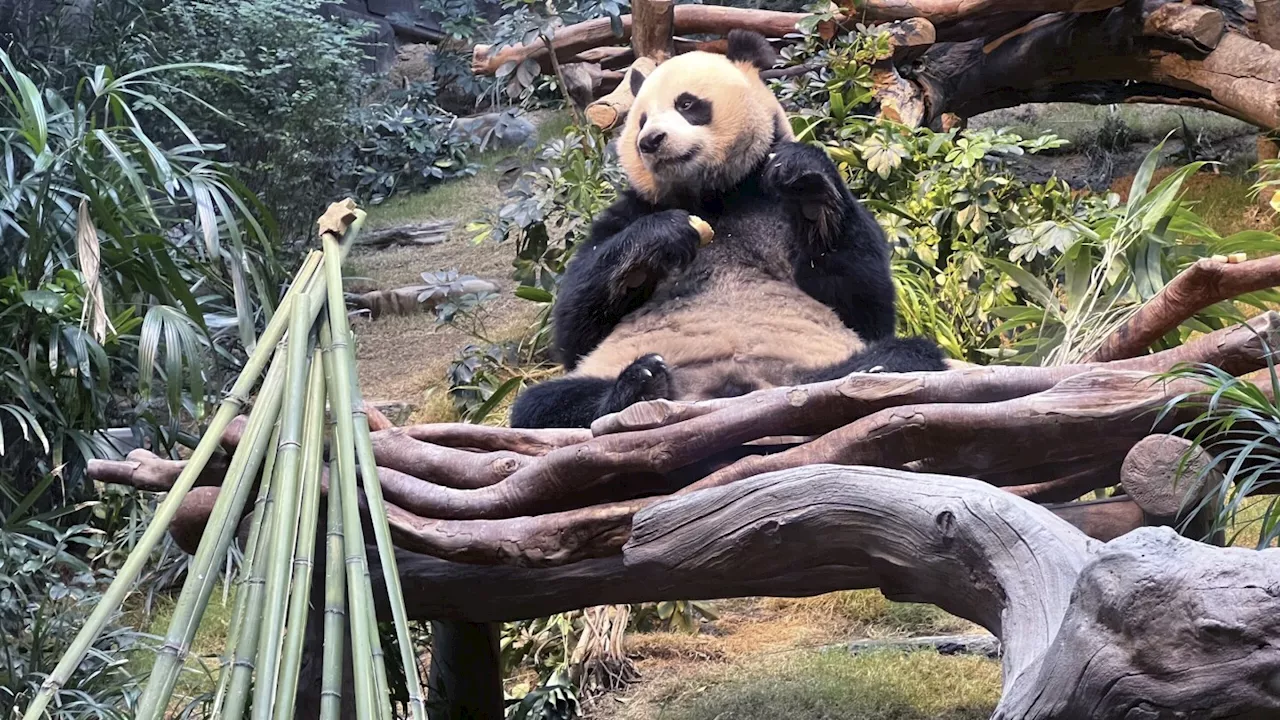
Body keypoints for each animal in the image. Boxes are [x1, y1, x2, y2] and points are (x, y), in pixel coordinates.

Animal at [506, 30, 942, 427]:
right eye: (641, 119)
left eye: (687, 104)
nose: (651, 140)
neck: (713, 196)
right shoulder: (627, 212)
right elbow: (576, 327)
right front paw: (661, 239)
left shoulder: (772, 201)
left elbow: (863, 303)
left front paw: (807, 184)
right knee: (544, 403)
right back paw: (639, 384)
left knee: (910, 354)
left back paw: (867, 372)